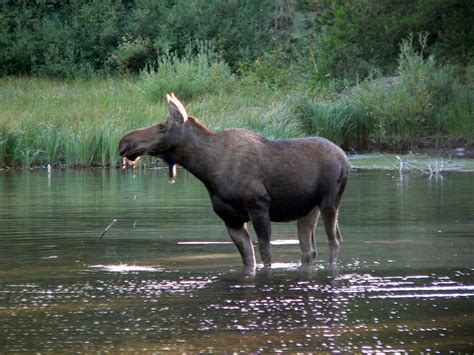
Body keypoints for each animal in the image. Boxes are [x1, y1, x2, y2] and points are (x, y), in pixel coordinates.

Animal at [118, 93, 348, 268]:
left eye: (161, 126)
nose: (124, 142)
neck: (207, 170)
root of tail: (345, 159)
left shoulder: (259, 206)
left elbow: (265, 254)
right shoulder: (231, 219)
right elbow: (249, 260)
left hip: (329, 201)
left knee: (335, 240)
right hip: (308, 209)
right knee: (309, 250)